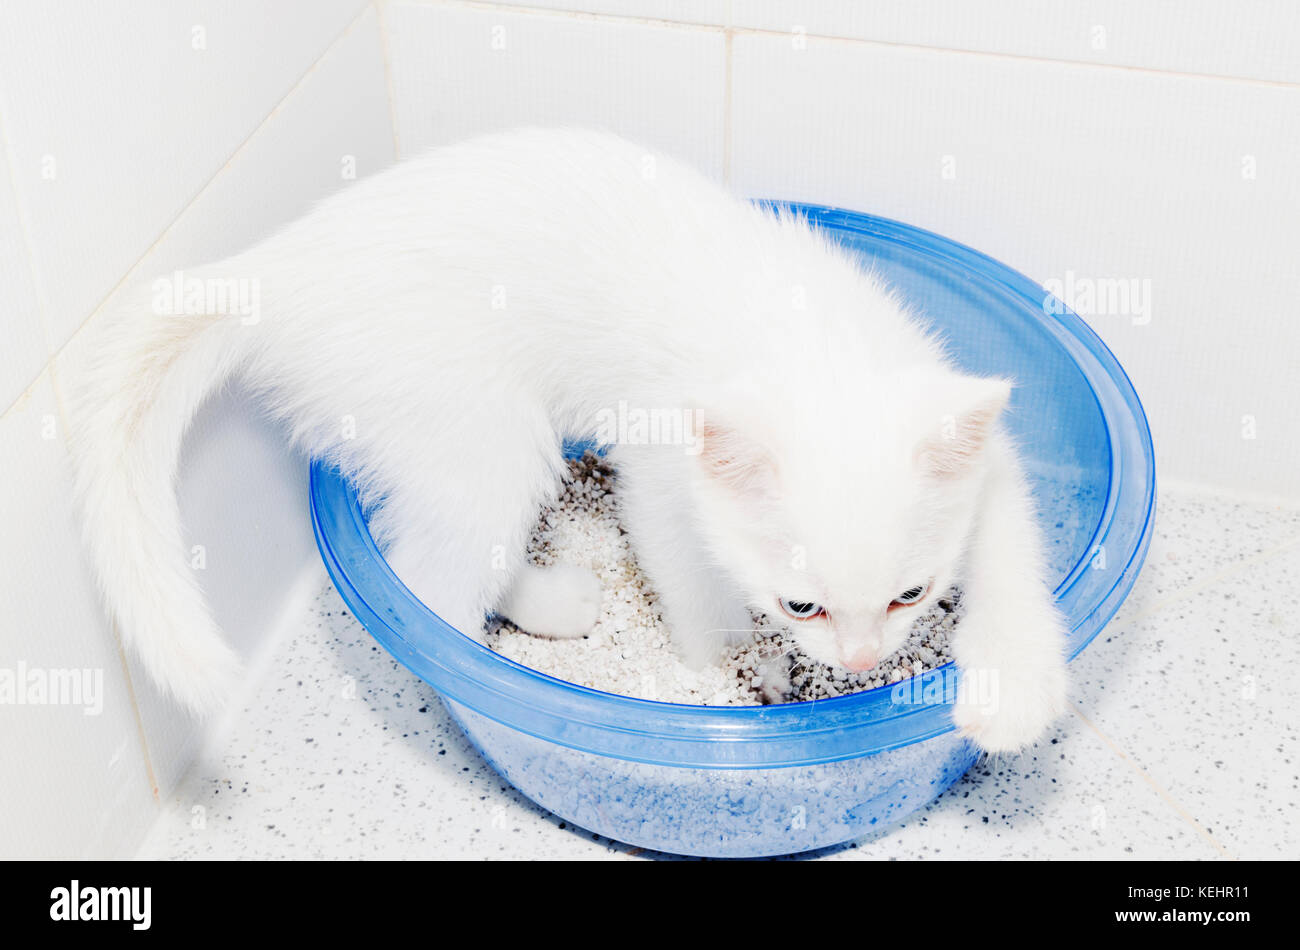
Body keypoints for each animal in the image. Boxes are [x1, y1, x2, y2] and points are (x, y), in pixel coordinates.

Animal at [65, 128, 1066, 748]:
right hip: (476, 428)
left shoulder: (975, 433)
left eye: (912, 593)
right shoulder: (659, 472)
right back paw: (516, 656)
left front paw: (1014, 691)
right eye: (801, 605)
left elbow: (1011, 544)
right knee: (429, 583)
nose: (861, 661)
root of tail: (274, 270)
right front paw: (718, 679)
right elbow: (688, 583)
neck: (805, 348)